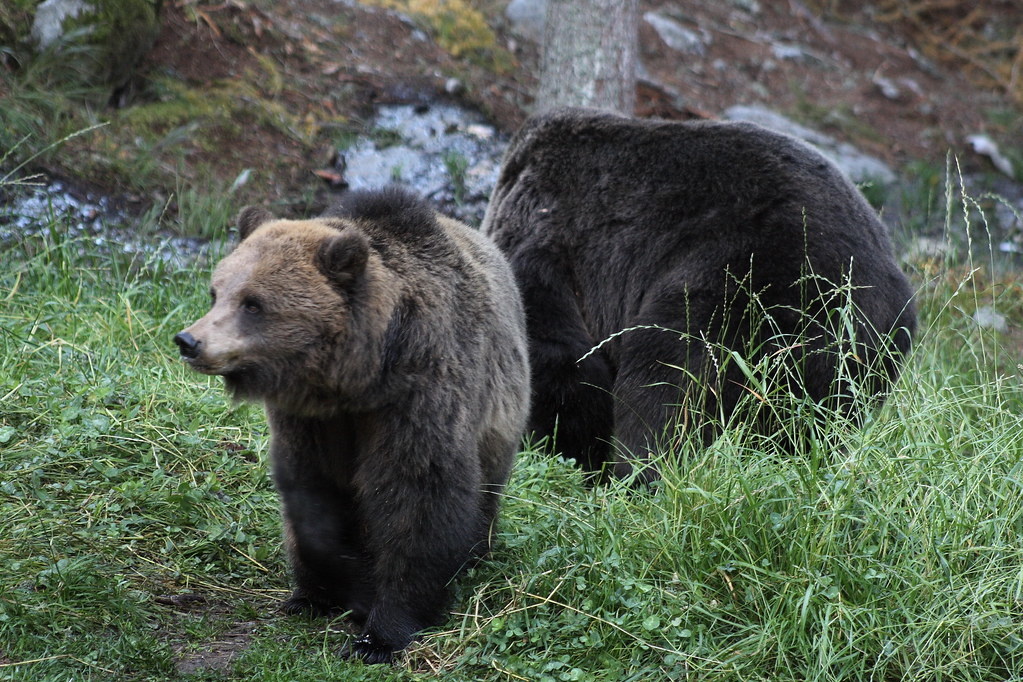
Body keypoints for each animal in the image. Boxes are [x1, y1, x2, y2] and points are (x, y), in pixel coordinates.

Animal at [174, 186, 530, 664]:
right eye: (216, 292)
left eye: (253, 303)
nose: (190, 341)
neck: (359, 378)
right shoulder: (308, 421)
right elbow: (312, 497)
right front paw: (343, 588)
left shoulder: (419, 395)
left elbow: (419, 497)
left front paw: (380, 632)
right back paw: (305, 597)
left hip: (499, 417)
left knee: (483, 495)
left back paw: (472, 554)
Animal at [481, 107, 916, 482]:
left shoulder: (547, 246)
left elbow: (559, 359)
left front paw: (570, 452)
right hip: (855, 348)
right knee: (818, 420)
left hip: (736, 283)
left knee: (668, 381)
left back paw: (639, 476)